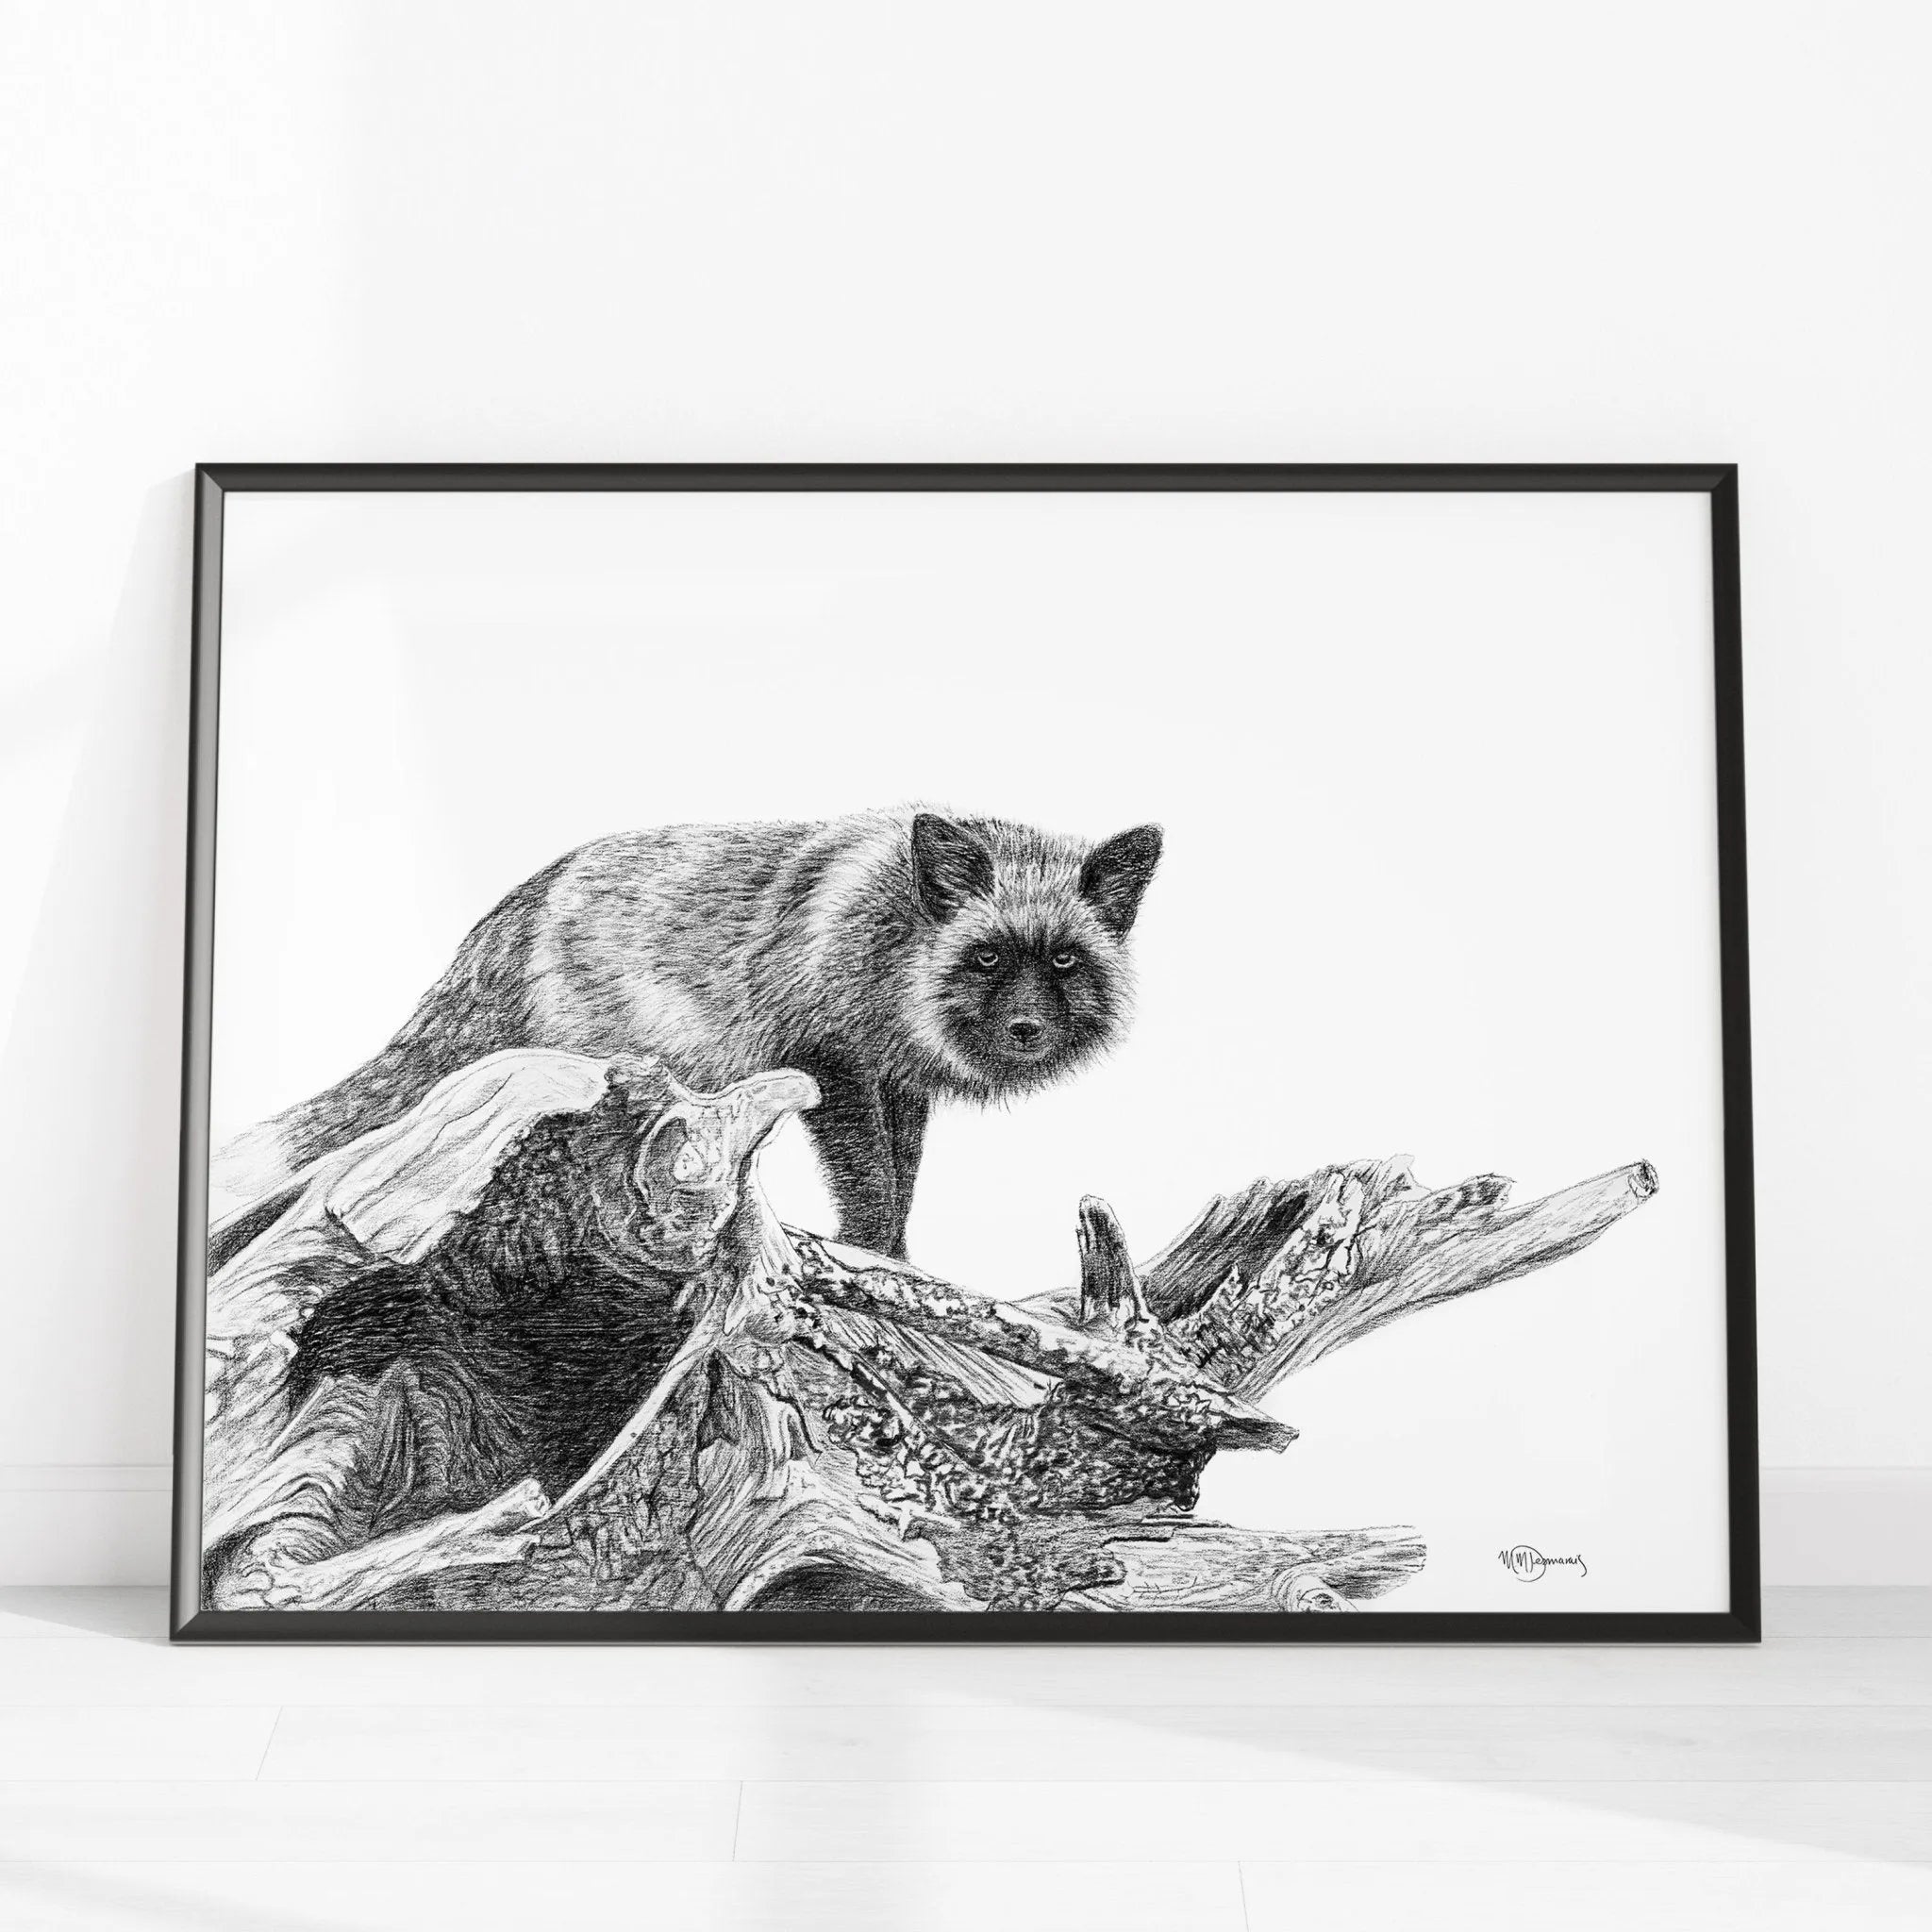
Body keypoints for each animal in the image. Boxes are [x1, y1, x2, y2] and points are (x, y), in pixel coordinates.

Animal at [214, 808, 1163, 1258]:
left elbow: (903, 1177)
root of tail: (517, 906)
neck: (893, 938)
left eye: (1066, 961)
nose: (1028, 1030)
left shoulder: (895, 1084)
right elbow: (871, 1184)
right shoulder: (827, 1064)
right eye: (989, 957)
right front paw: (877, 1256)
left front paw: (898, 1256)